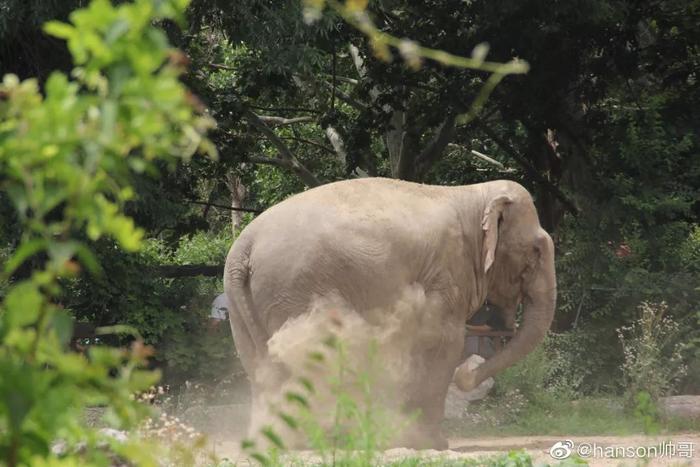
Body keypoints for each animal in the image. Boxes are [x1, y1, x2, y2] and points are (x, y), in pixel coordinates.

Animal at [224, 177, 556, 452]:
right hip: (292, 290)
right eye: (536, 252)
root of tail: (244, 246)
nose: (465, 376)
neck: (476, 195)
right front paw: (432, 443)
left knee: (261, 367)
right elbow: (444, 344)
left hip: (243, 303)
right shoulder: (447, 273)